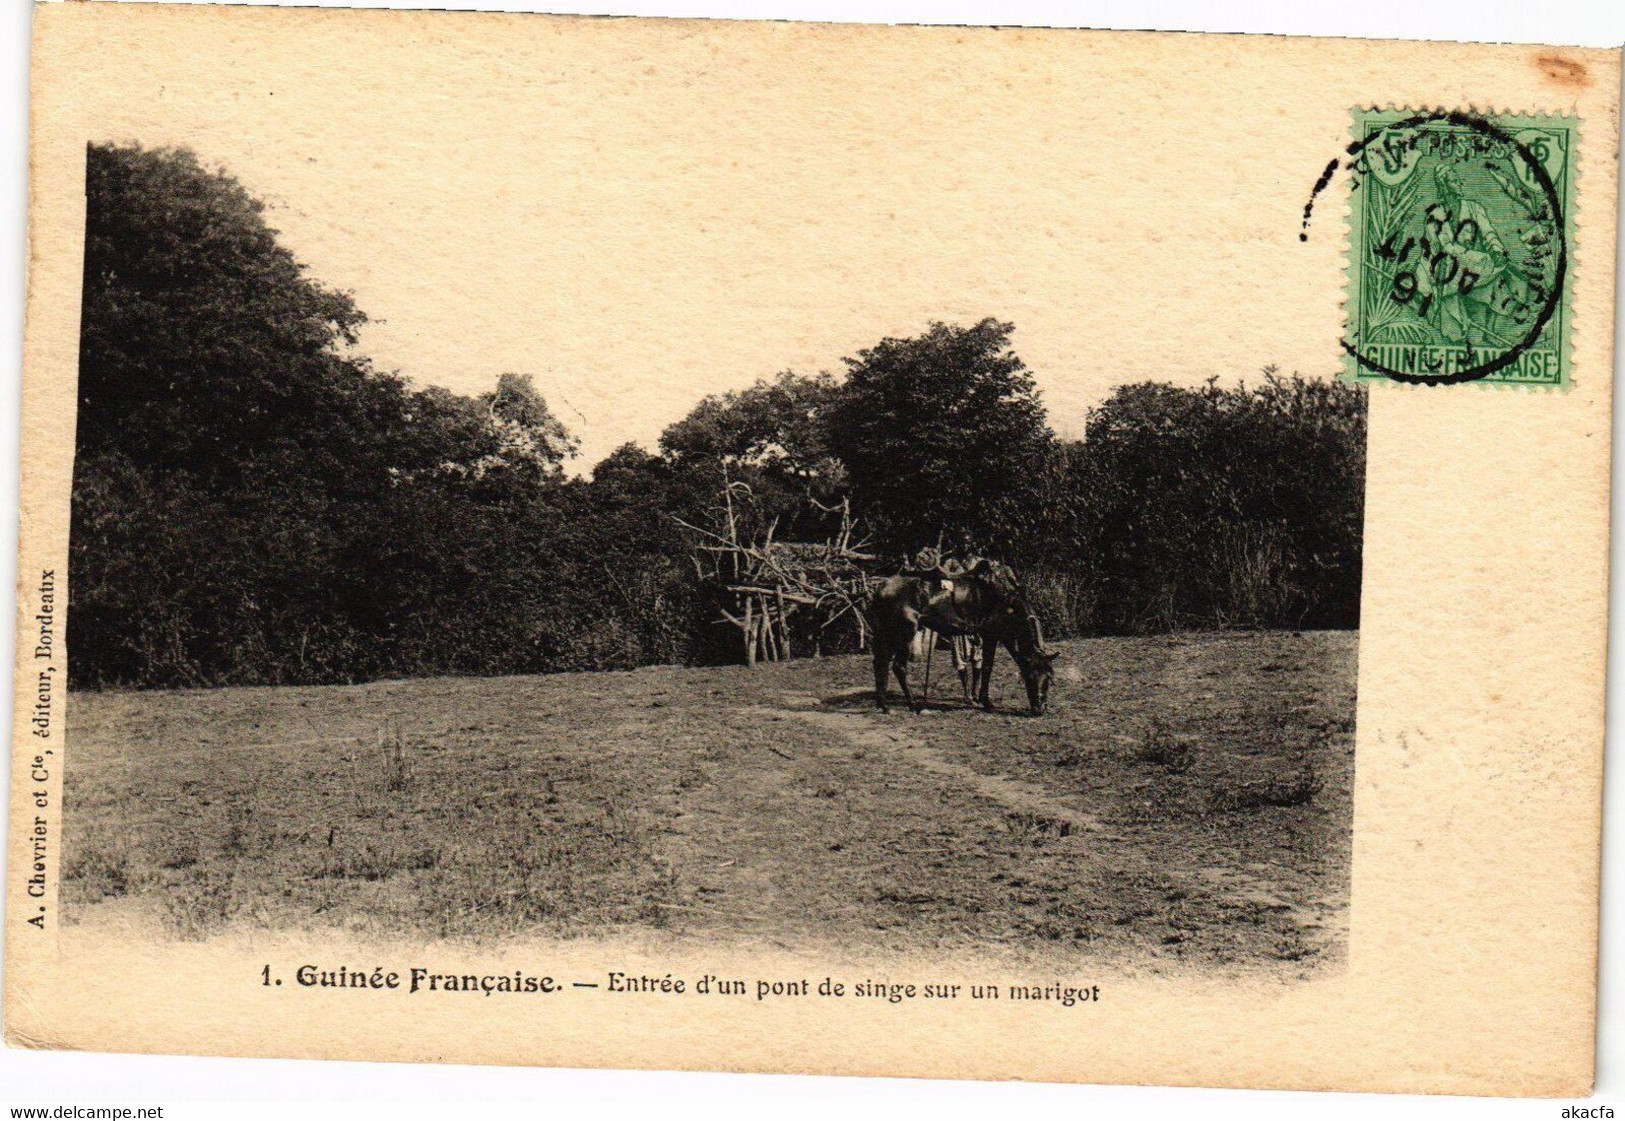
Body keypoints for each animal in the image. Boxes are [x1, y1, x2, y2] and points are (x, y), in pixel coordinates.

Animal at [871, 568, 1059, 714]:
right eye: (1031, 675)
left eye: (1049, 677)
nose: (1040, 709)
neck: (1005, 599)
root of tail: (882, 587)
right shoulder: (993, 635)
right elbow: (988, 667)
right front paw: (986, 702)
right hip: (904, 634)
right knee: (898, 667)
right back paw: (913, 705)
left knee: (880, 664)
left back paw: (884, 706)